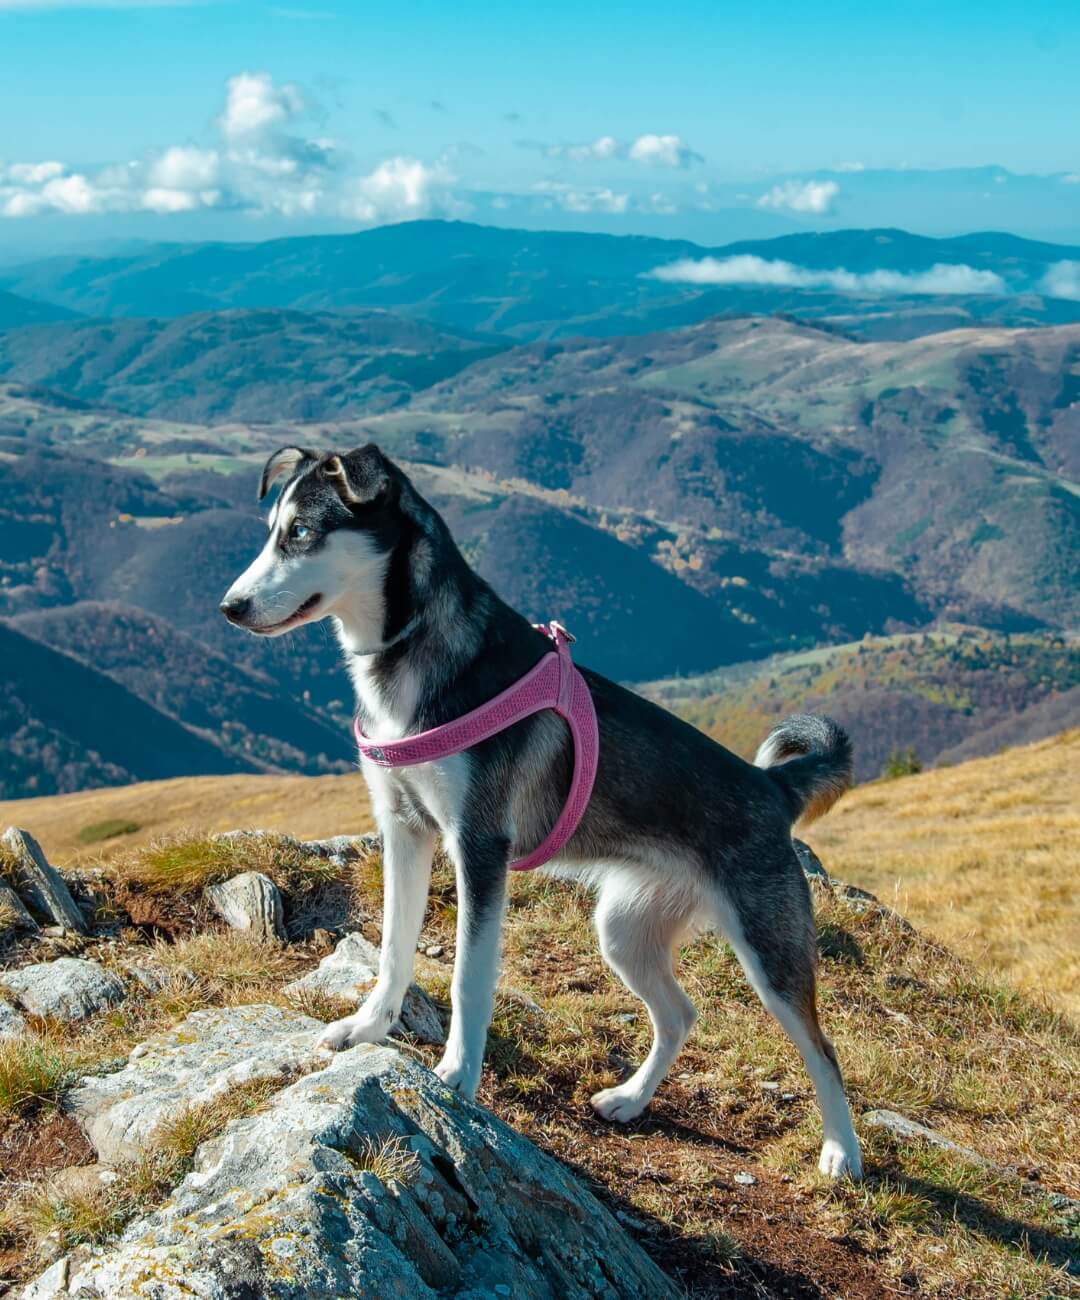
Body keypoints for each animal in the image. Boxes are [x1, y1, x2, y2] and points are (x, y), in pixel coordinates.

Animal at [223, 444, 868, 1180]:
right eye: (270, 530)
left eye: (301, 533)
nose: (230, 607)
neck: (413, 652)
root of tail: (772, 787)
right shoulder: (405, 831)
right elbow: (391, 951)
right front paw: (367, 1028)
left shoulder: (480, 847)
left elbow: (469, 982)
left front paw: (456, 1077)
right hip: (625, 929)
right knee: (680, 1014)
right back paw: (631, 1098)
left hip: (769, 949)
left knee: (823, 1049)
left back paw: (842, 1152)